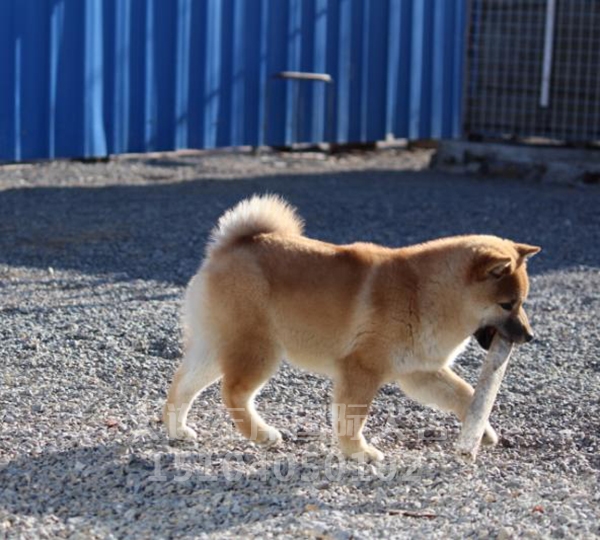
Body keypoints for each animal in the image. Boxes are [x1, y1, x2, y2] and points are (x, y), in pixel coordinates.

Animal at [163, 196, 540, 462]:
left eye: (522, 302)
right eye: (507, 304)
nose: (530, 336)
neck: (424, 294)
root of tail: (229, 247)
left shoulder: (420, 373)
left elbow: (465, 393)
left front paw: (483, 430)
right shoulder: (361, 369)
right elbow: (353, 417)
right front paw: (358, 451)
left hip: (216, 349)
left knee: (181, 386)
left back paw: (177, 429)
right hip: (258, 350)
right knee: (233, 392)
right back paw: (262, 434)